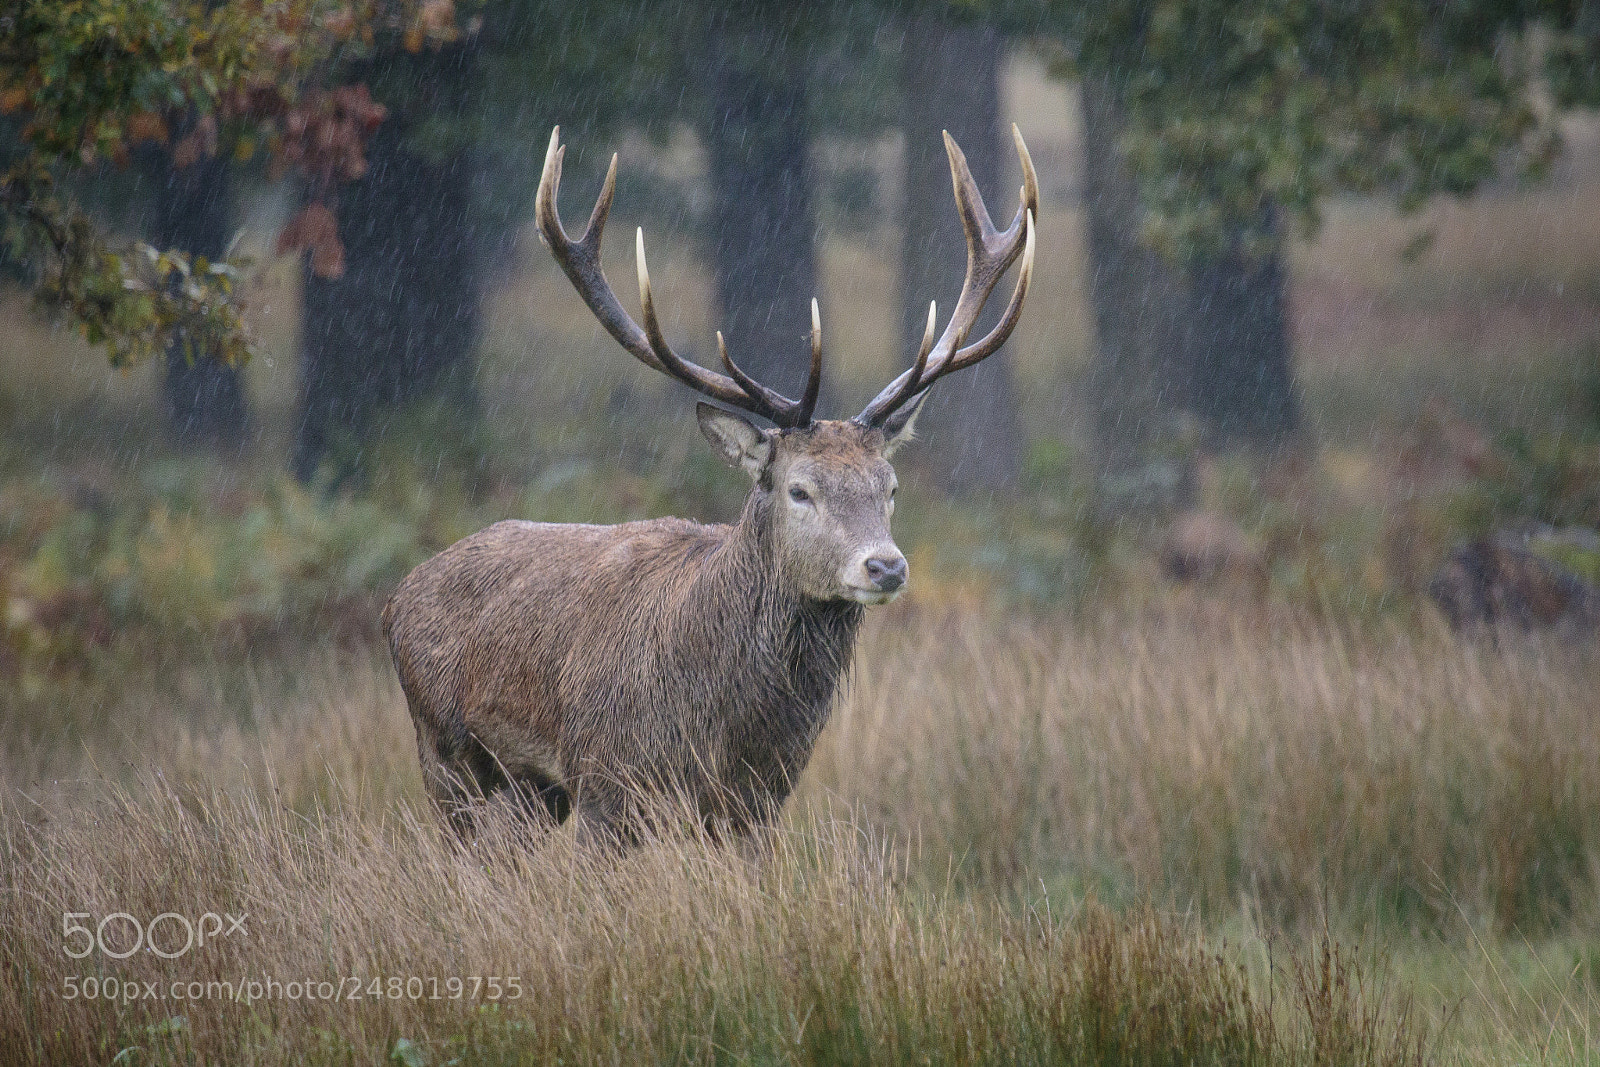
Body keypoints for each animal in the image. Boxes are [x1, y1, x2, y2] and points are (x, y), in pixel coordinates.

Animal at [383, 125, 1037, 850]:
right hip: (444, 751)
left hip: (531, 786)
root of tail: (397, 596)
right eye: (799, 490)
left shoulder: (757, 801)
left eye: (889, 487)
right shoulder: (605, 777)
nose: (886, 566)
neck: (722, 723)